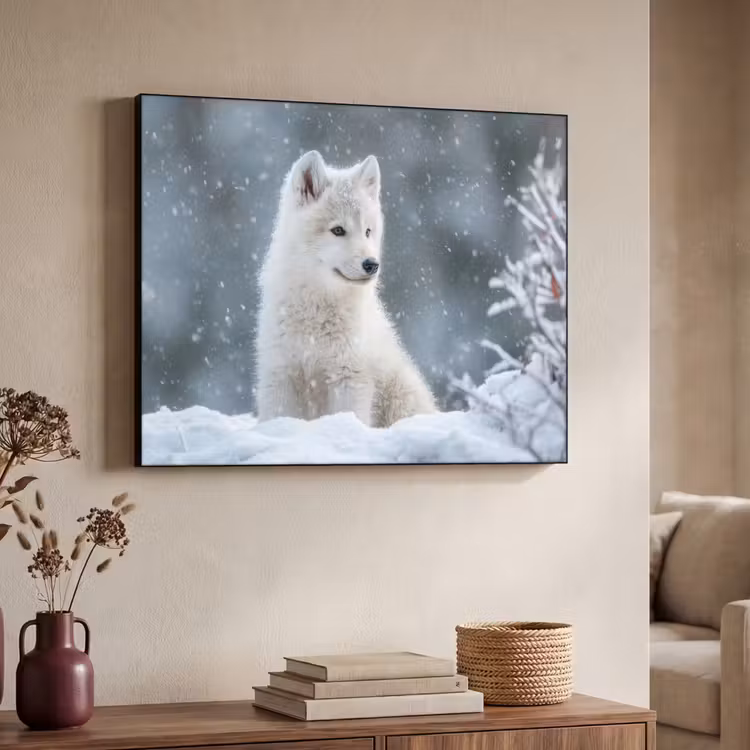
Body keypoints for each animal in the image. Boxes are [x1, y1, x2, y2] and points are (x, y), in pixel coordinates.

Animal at [255, 150, 436, 427]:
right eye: (338, 230)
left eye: (368, 231)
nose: (372, 264)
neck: (316, 310)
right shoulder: (281, 375)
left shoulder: (349, 377)